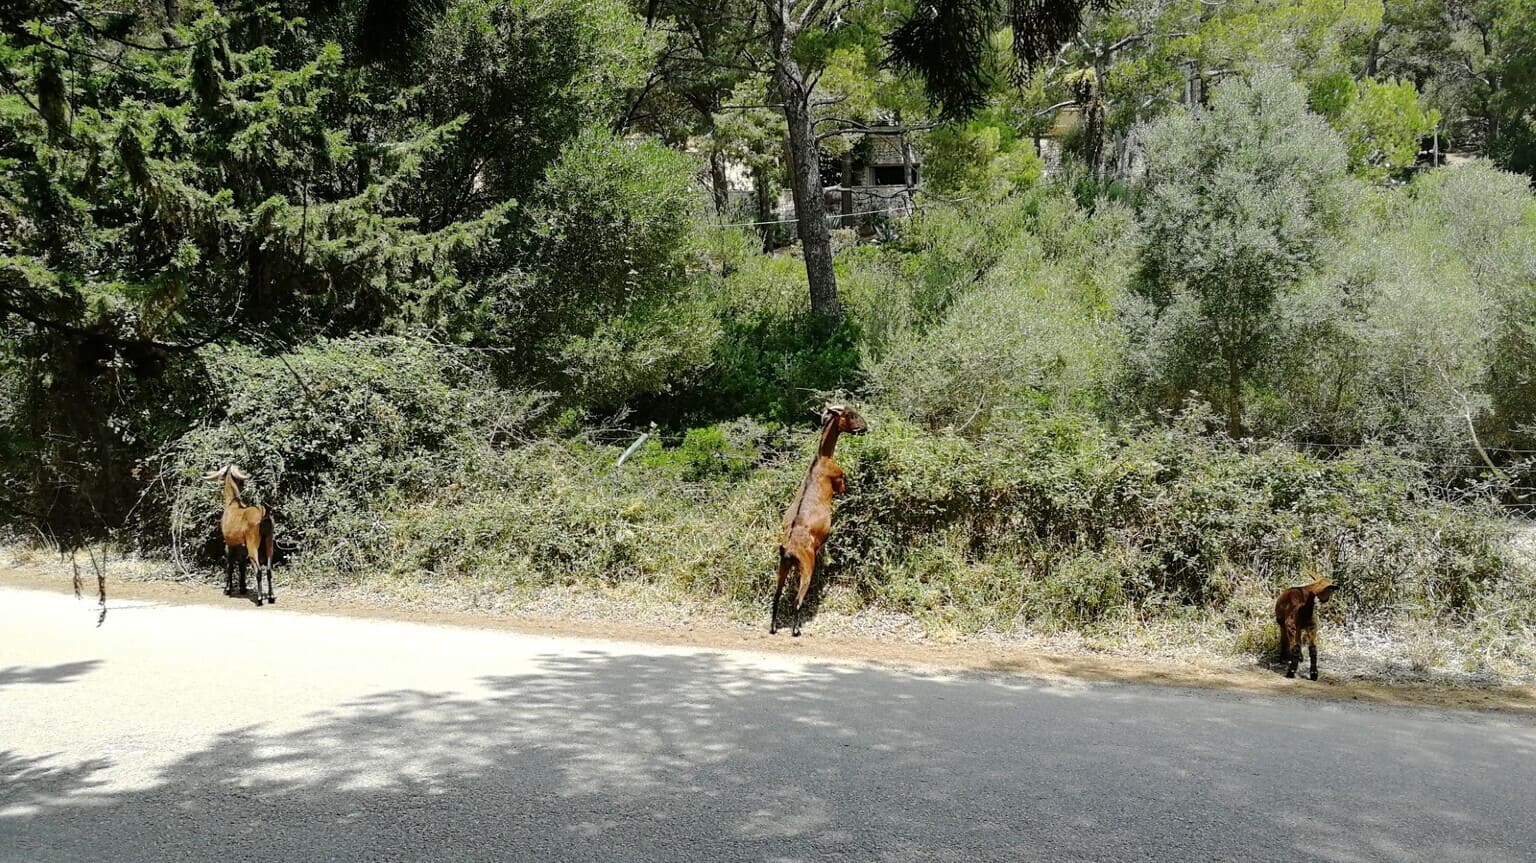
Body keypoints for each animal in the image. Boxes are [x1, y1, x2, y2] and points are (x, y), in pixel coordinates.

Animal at [205, 463, 278, 605]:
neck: (232, 504)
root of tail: (264, 513)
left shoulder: (229, 544)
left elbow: (230, 565)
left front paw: (227, 589)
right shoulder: (242, 547)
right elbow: (242, 564)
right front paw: (243, 588)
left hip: (253, 545)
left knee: (259, 570)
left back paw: (259, 599)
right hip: (269, 544)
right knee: (269, 570)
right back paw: (271, 597)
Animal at [768, 402, 866, 632]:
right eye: (850, 415)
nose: (864, 427)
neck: (821, 458)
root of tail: (789, 549)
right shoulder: (839, 480)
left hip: (782, 567)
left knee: (776, 597)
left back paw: (773, 627)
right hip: (806, 565)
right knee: (797, 599)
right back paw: (796, 630)